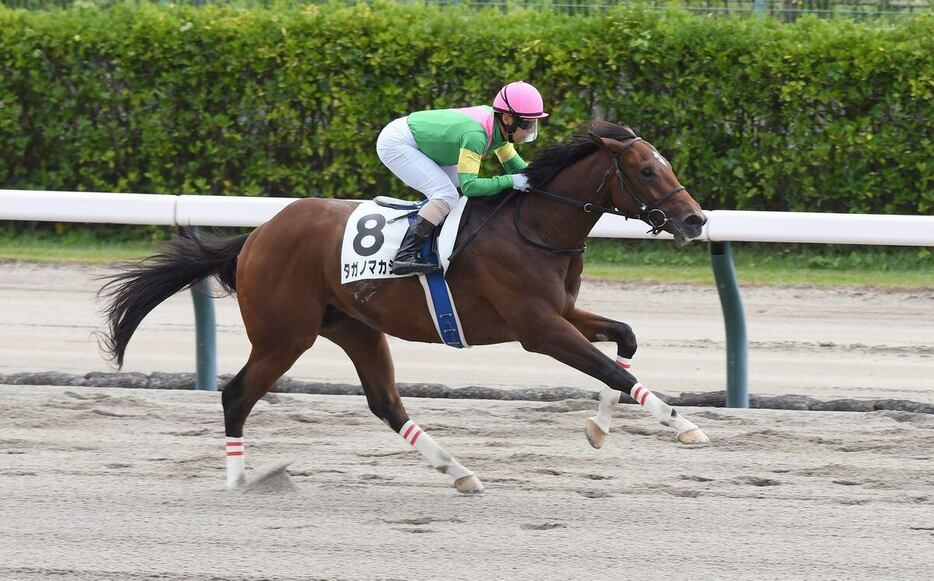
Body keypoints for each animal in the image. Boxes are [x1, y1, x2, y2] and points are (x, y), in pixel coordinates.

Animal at [100, 120, 708, 492]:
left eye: (666, 164)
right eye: (647, 170)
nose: (697, 219)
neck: (534, 226)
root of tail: (255, 236)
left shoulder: (563, 313)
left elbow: (624, 339)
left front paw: (599, 428)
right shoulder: (537, 327)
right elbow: (610, 366)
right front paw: (684, 426)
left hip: (356, 328)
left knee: (385, 403)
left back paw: (459, 472)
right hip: (284, 335)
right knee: (237, 395)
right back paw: (238, 481)